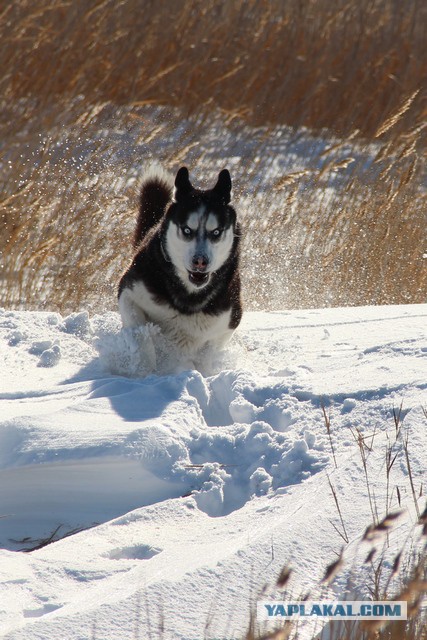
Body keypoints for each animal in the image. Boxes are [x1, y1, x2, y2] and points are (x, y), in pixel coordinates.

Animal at [118, 165, 242, 352]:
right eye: (187, 230)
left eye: (216, 232)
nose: (200, 261)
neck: (189, 296)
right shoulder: (129, 292)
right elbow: (141, 336)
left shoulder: (227, 322)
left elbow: (210, 353)